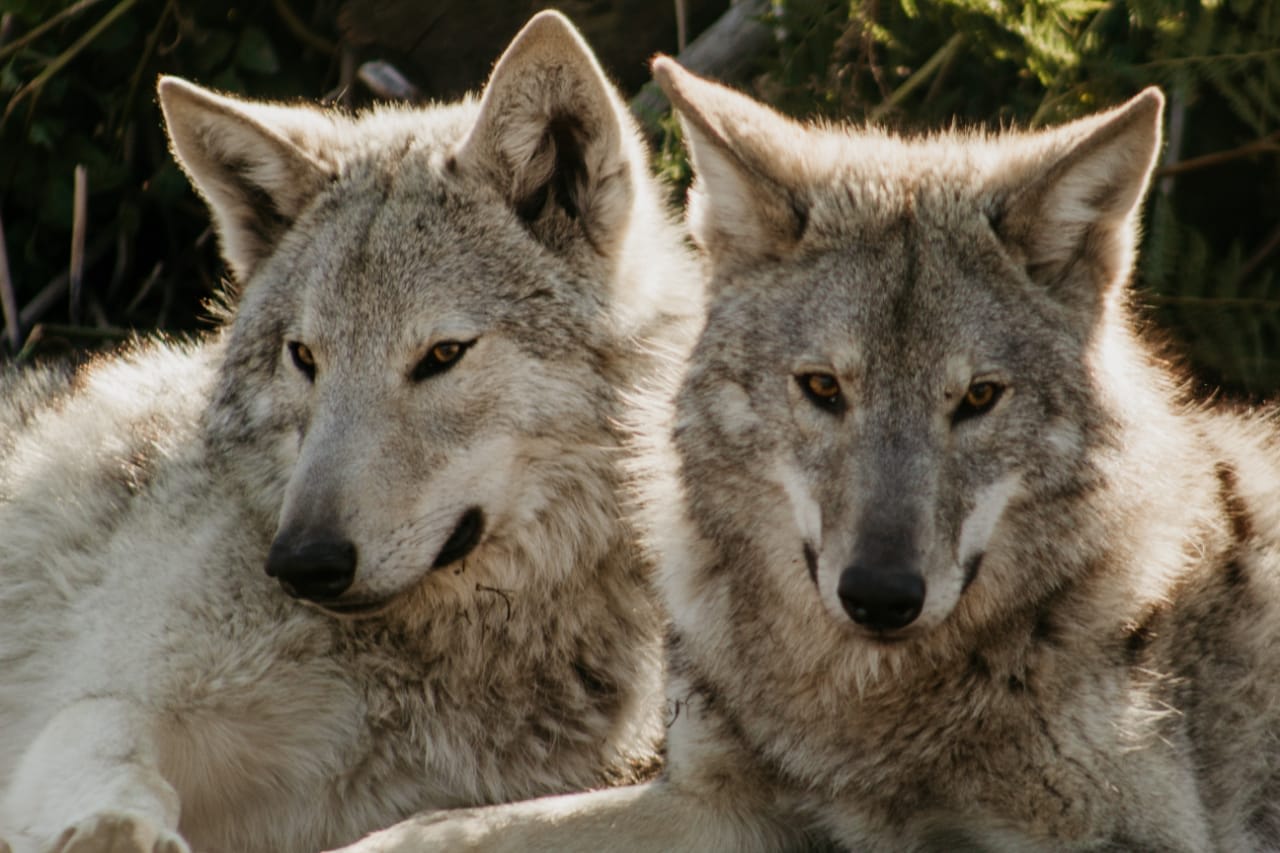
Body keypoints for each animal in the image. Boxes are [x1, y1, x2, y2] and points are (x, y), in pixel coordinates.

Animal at [0, 12, 699, 853]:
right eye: (305, 357)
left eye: (442, 355)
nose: (303, 562)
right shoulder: (90, 712)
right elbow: (121, 762)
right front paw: (118, 832)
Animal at [331, 58, 1280, 852]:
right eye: (823, 387)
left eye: (977, 399)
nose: (881, 596)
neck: (858, 708)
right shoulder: (713, 800)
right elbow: (435, 828)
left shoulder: (1126, 835)